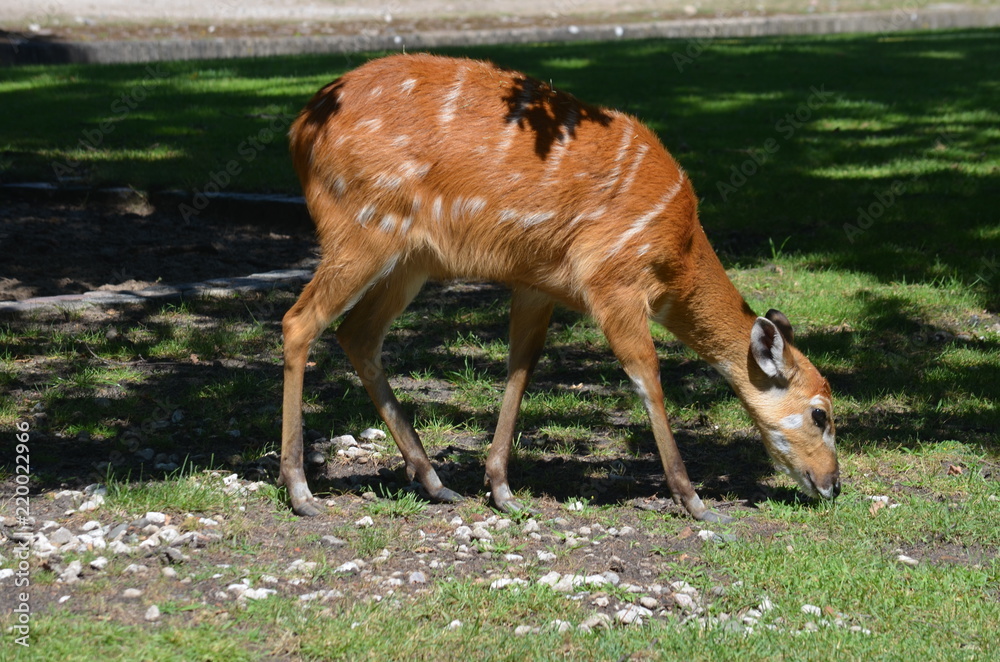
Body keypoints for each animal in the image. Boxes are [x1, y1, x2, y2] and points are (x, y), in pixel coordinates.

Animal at [278, 53, 840, 524]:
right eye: (821, 414)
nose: (833, 485)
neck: (676, 254)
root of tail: (299, 130)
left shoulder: (538, 282)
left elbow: (521, 367)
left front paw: (502, 490)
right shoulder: (613, 281)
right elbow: (648, 379)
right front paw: (697, 503)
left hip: (409, 259)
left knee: (358, 334)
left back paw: (436, 483)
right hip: (361, 230)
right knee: (299, 321)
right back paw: (302, 491)